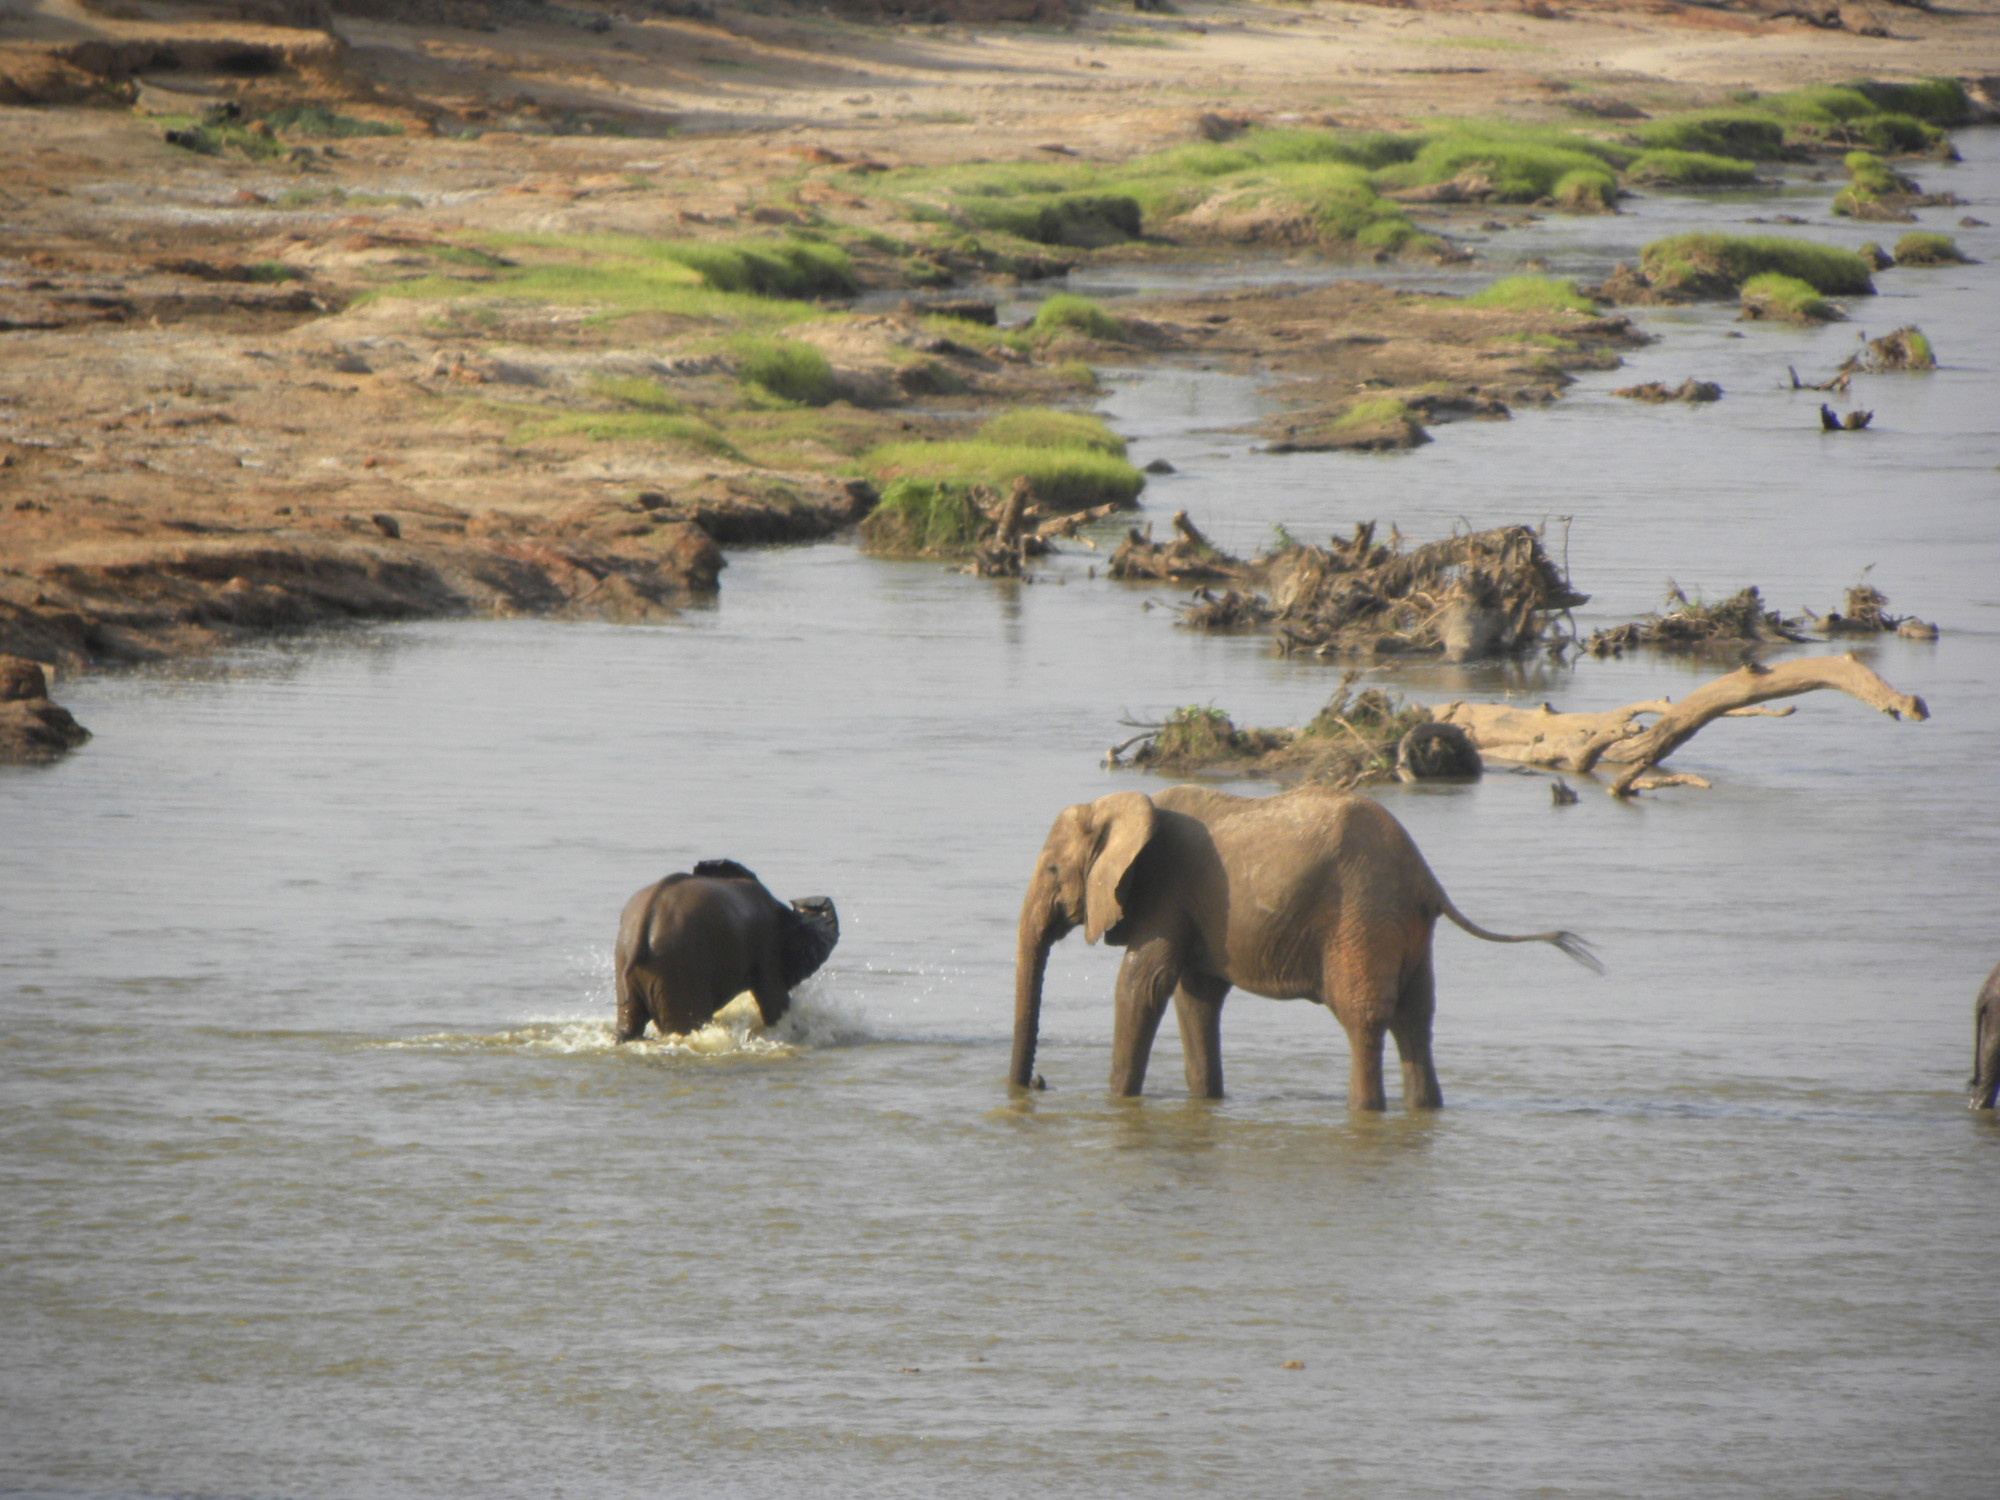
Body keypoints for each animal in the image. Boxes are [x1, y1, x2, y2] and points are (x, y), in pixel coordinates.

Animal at [604, 856, 832, 1048]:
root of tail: (646, 918)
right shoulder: (768, 945)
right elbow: (775, 1003)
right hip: (678, 966)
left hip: (628, 958)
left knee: (629, 1022)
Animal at [1008, 780, 1600, 1112]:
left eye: (1053, 870)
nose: (1033, 1085)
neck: (1126, 803)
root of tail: (1426, 877)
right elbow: (1196, 997)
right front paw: (1206, 1103)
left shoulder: (1164, 889)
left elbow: (1143, 985)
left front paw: (1116, 1103)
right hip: (1403, 929)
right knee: (1415, 1020)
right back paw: (1424, 1110)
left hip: (1361, 916)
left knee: (1363, 1018)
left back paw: (1365, 1111)